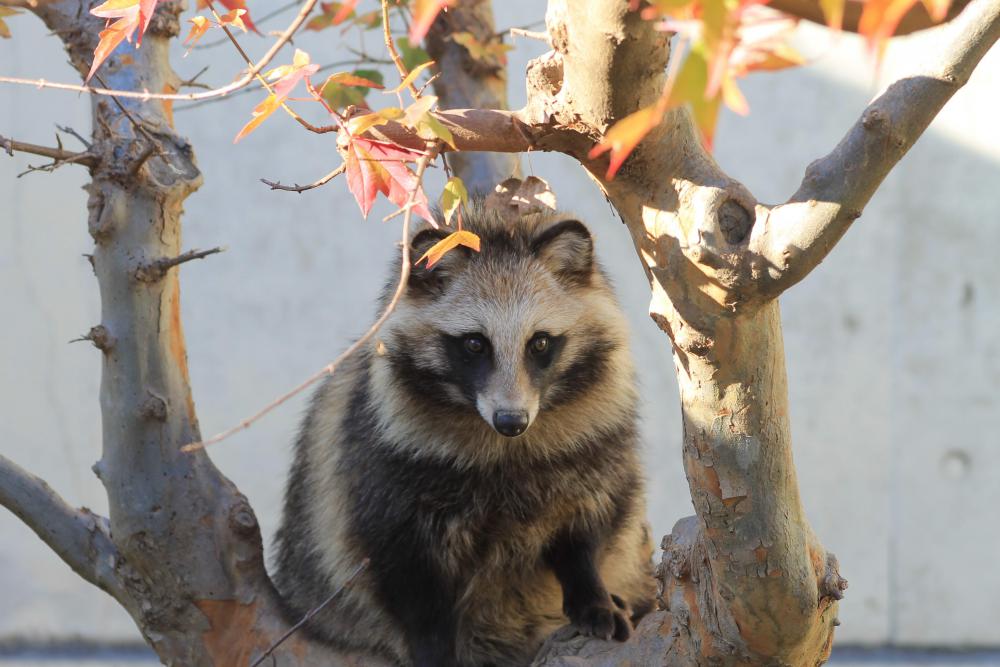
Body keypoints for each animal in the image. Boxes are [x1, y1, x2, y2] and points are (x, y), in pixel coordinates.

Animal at [276, 205, 656, 667]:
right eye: (475, 344)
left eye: (540, 343)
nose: (511, 421)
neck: (506, 448)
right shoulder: (381, 469)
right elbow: (404, 575)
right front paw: (432, 645)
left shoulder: (596, 445)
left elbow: (589, 524)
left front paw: (591, 593)